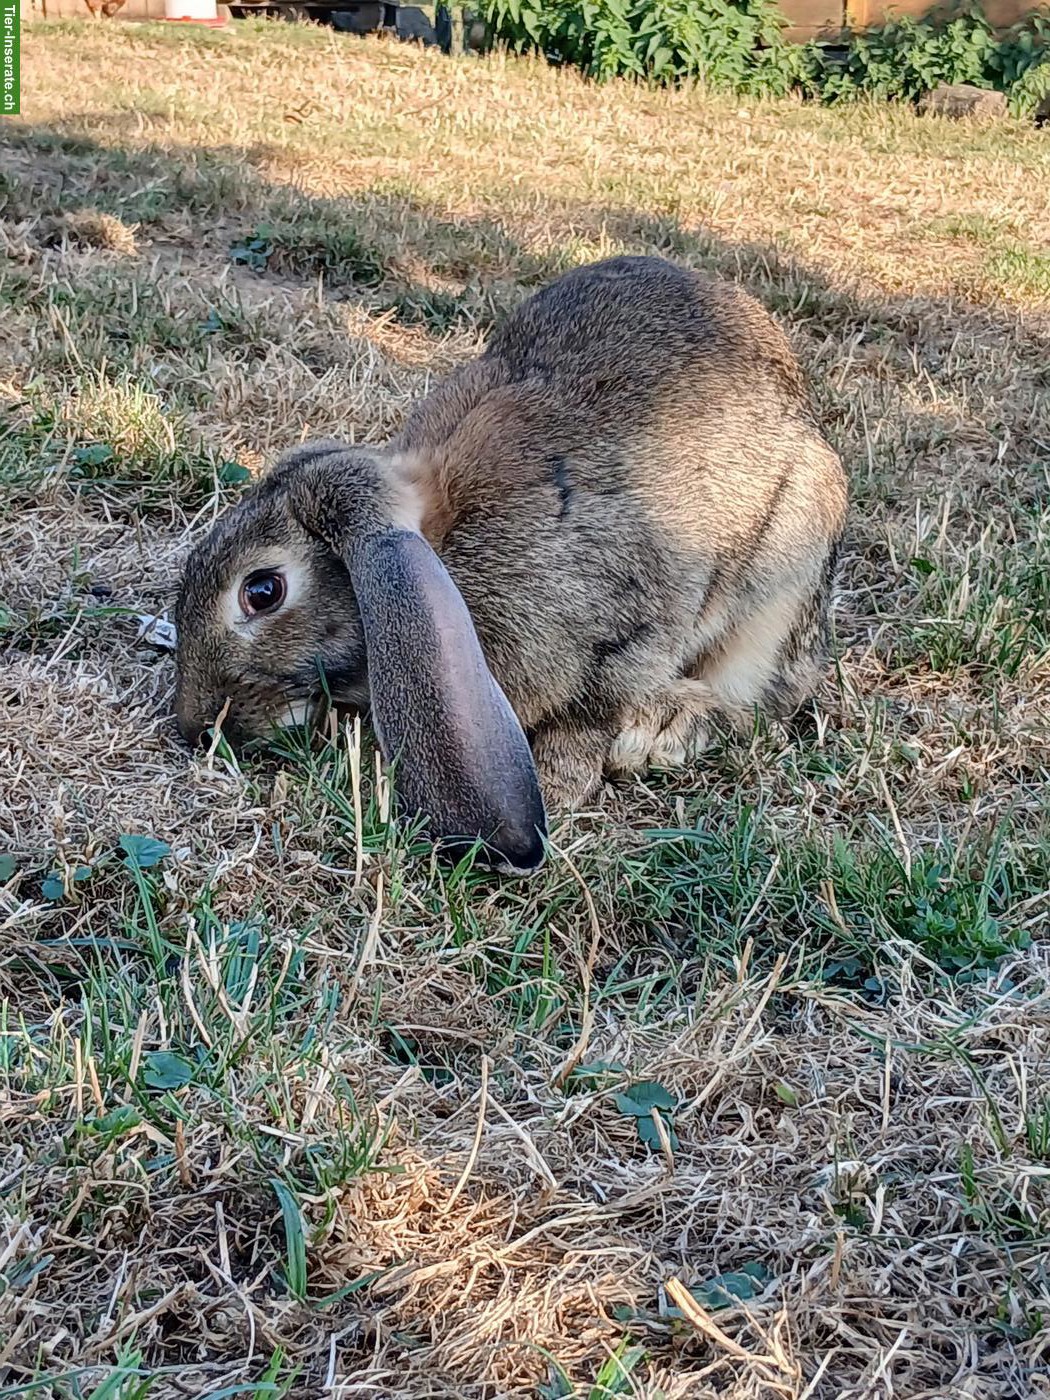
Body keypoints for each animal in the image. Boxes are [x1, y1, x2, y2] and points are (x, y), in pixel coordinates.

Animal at [174, 254, 848, 874]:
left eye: (262, 590)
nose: (193, 727)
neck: (444, 541)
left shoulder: (628, 630)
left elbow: (589, 717)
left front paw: (556, 788)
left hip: (778, 595)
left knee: (752, 709)